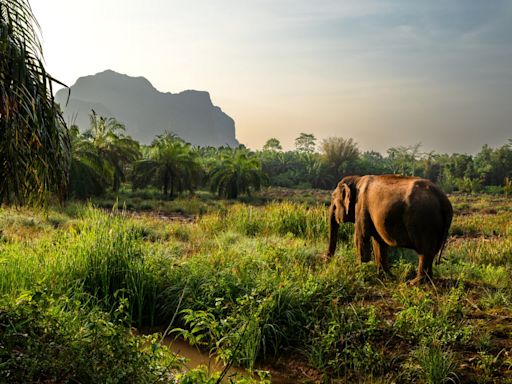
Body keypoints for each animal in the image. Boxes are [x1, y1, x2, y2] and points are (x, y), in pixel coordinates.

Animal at [326, 176, 454, 284]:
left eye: (333, 200)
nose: (327, 262)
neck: (357, 179)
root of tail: (444, 200)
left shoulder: (361, 207)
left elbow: (360, 238)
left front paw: (359, 273)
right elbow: (379, 242)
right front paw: (385, 276)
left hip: (424, 220)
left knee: (425, 251)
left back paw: (413, 283)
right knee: (430, 253)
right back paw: (428, 281)